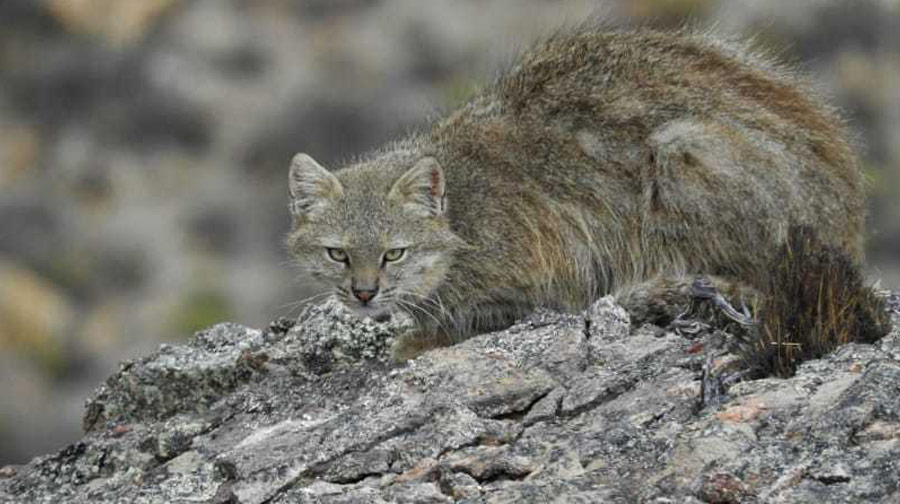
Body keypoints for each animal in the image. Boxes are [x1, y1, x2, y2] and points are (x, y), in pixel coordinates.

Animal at [284, 26, 860, 358]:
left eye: (394, 253)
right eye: (337, 253)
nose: (364, 293)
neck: (464, 215)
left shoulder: (547, 279)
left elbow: (482, 317)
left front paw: (419, 338)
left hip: (682, 147)